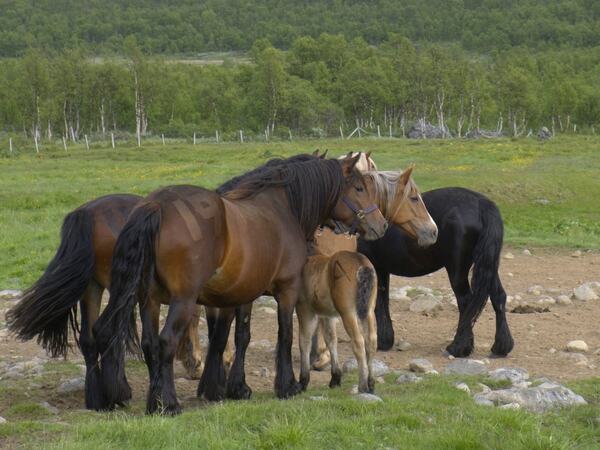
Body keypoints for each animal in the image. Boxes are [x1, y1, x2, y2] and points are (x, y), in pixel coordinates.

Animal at [298, 229, 378, 394]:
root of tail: (362, 265)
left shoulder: (305, 309)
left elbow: (304, 340)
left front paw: (303, 381)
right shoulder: (327, 314)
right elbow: (331, 339)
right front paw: (335, 379)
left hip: (348, 313)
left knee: (358, 341)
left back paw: (362, 386)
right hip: (369, 311)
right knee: (371, 340)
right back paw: (371, 384)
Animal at [358, 186, 512, 358]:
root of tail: (481, 203)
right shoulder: (382, 268)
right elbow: (382, 301)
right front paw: (385, 340)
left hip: (457, 269)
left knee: (466, 302)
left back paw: (459, 348)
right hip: (487, 264)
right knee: (498, 297)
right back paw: (501, 347)